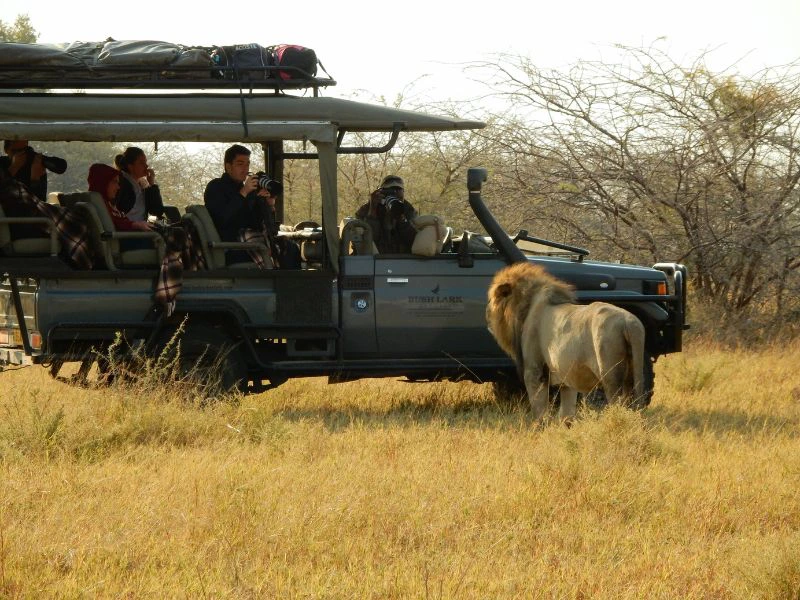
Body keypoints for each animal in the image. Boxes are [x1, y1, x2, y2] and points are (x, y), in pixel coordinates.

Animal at [486, 262, 646, 421]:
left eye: (492, 300)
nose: (487, 314)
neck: (526, 307)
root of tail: (628, 322)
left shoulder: (535, 371)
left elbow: (539, 410)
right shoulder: (566, 379)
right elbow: (566, 413)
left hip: (610, 375)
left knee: (618, 404)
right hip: (633, 372)